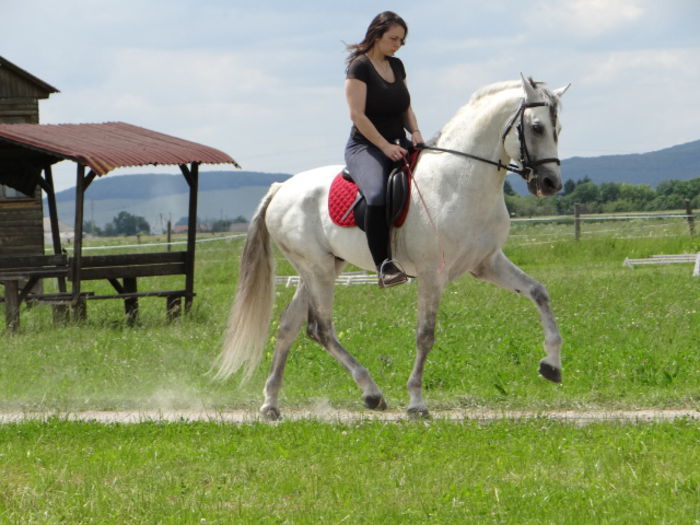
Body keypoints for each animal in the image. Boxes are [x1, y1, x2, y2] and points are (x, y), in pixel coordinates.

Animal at [216, 74, 572, 418]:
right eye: (537, 127)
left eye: (558, 130)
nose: (550, 184)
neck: (459, 181)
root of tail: (281, 187)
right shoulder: (432, 274)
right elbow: (425, 335)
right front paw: (416, 403)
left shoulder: (487, 263)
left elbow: (539, 292)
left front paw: (551, 365)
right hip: (317, 270)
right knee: (321, 329)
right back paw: (371, 392)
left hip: (321, 268)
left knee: (289, 326)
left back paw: (271, 404)